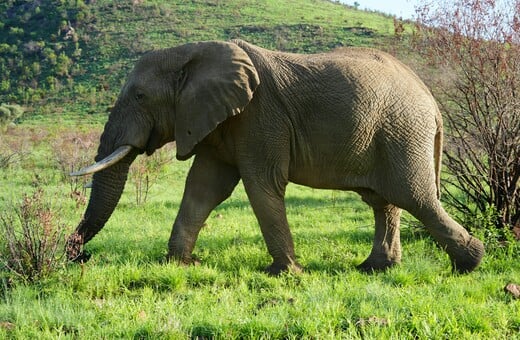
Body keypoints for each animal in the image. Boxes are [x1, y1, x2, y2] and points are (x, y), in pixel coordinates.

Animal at [67, 39, 486, 274]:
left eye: (140, 96)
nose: (79, 256)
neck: (193, 52)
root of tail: (431, 99)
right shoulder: (221, 121)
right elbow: (204, 188)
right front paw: (180, 266)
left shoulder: (259, 116)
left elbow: (260, 185)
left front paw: (286, 273)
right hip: (389, 134)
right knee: (385, 201)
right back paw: (376, 269)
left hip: (402, 132)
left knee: (415, 197)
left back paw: (470, 263)